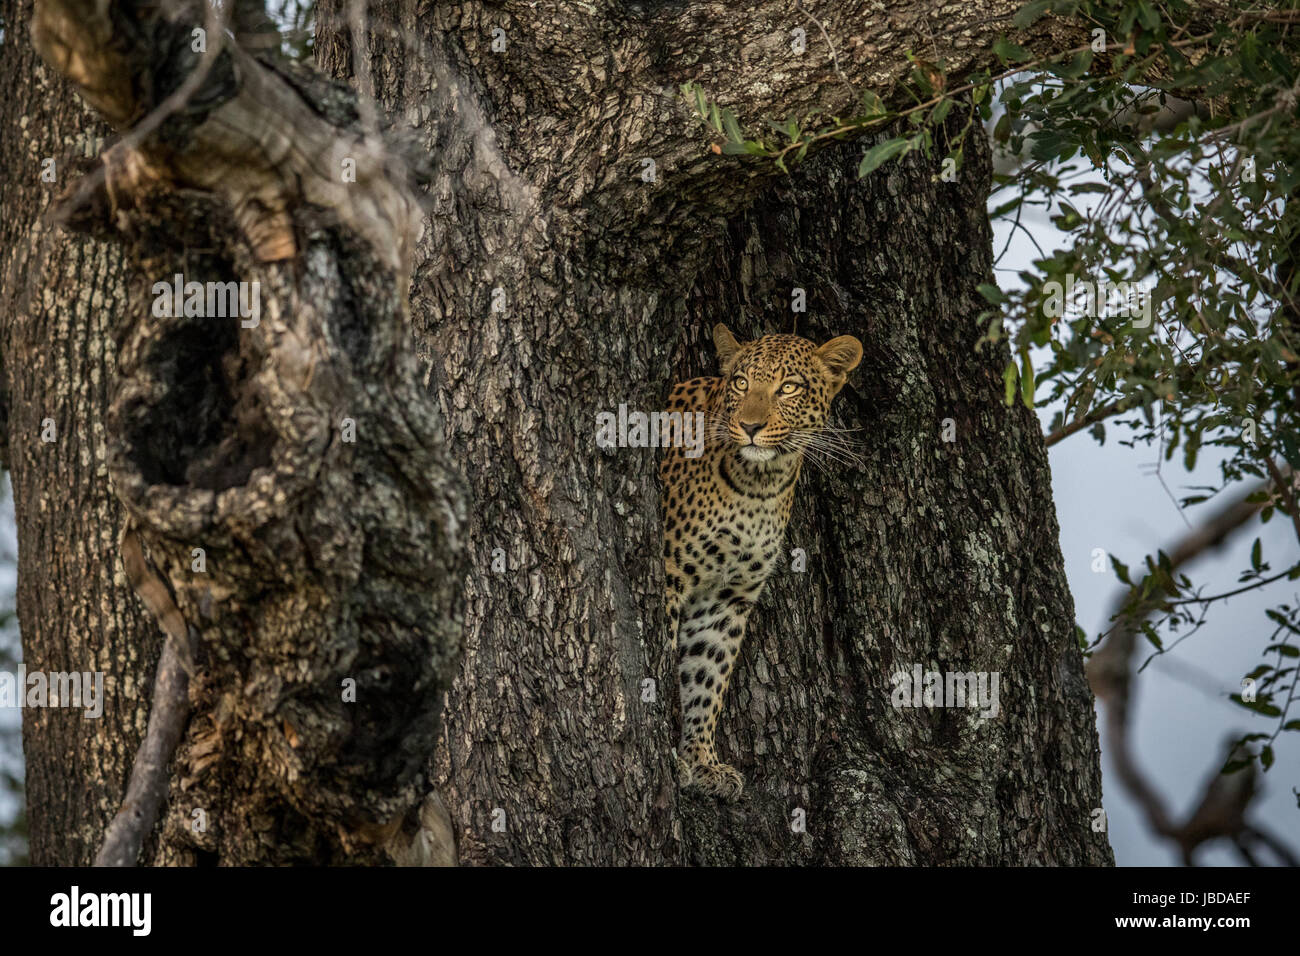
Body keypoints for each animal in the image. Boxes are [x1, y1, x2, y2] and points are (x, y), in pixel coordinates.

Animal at [660, 322, 863, 799]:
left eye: (788, 387)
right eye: (740, 383)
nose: (750, 426)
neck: (759, 485)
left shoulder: (726, 598)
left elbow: (706, 678)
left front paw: (702, 761)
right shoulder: (670, 572)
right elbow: (660, 661)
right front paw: (666, 753)